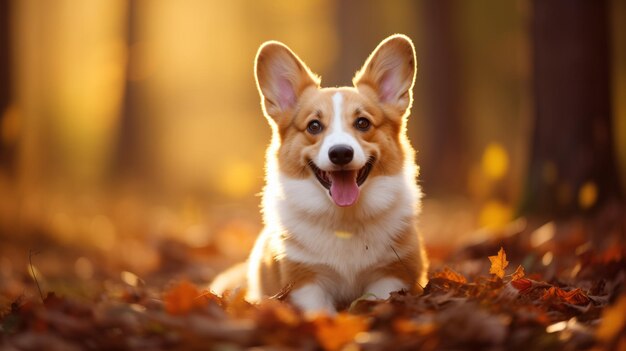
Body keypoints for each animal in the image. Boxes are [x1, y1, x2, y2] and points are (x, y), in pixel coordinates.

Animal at [210, 34, 424, 314]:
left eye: (363, 123)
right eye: (314, 126)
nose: (341, 153)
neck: (345, 222)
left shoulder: (390, 275)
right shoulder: (306, 282)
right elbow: (321, 313)